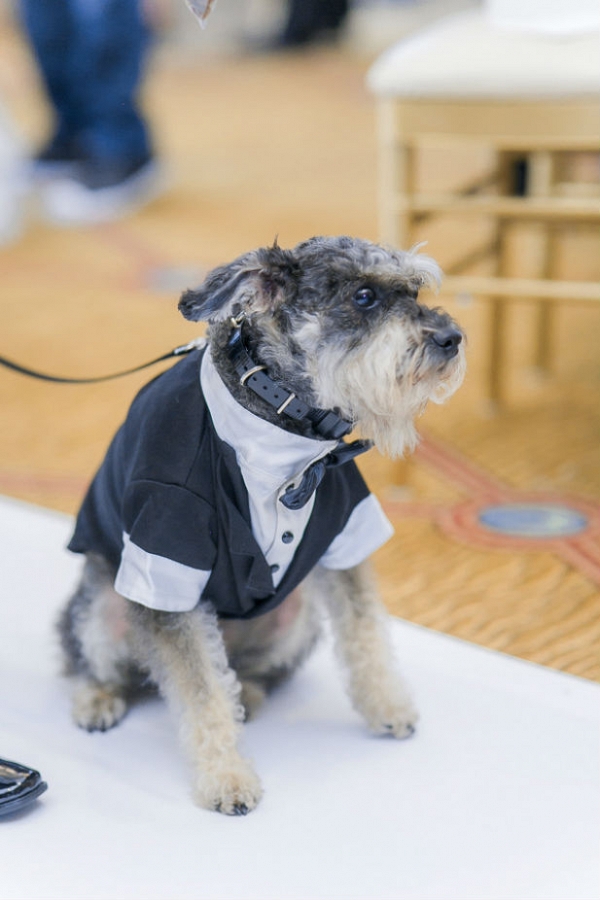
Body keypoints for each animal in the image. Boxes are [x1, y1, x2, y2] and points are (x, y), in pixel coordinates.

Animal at [59, 234, 464, 816]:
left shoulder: (345, 538)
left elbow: (365, 633)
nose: (452, 338)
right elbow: (202, 694)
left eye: (413, 289)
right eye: (363, 296)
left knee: (242, 671)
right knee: (92, 660)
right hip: (104, 606)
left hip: (294, 618)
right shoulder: (168, 548)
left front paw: (388, 705)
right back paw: (97, 697)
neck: (282, 415)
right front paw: (226, 779)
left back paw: (246, 693)